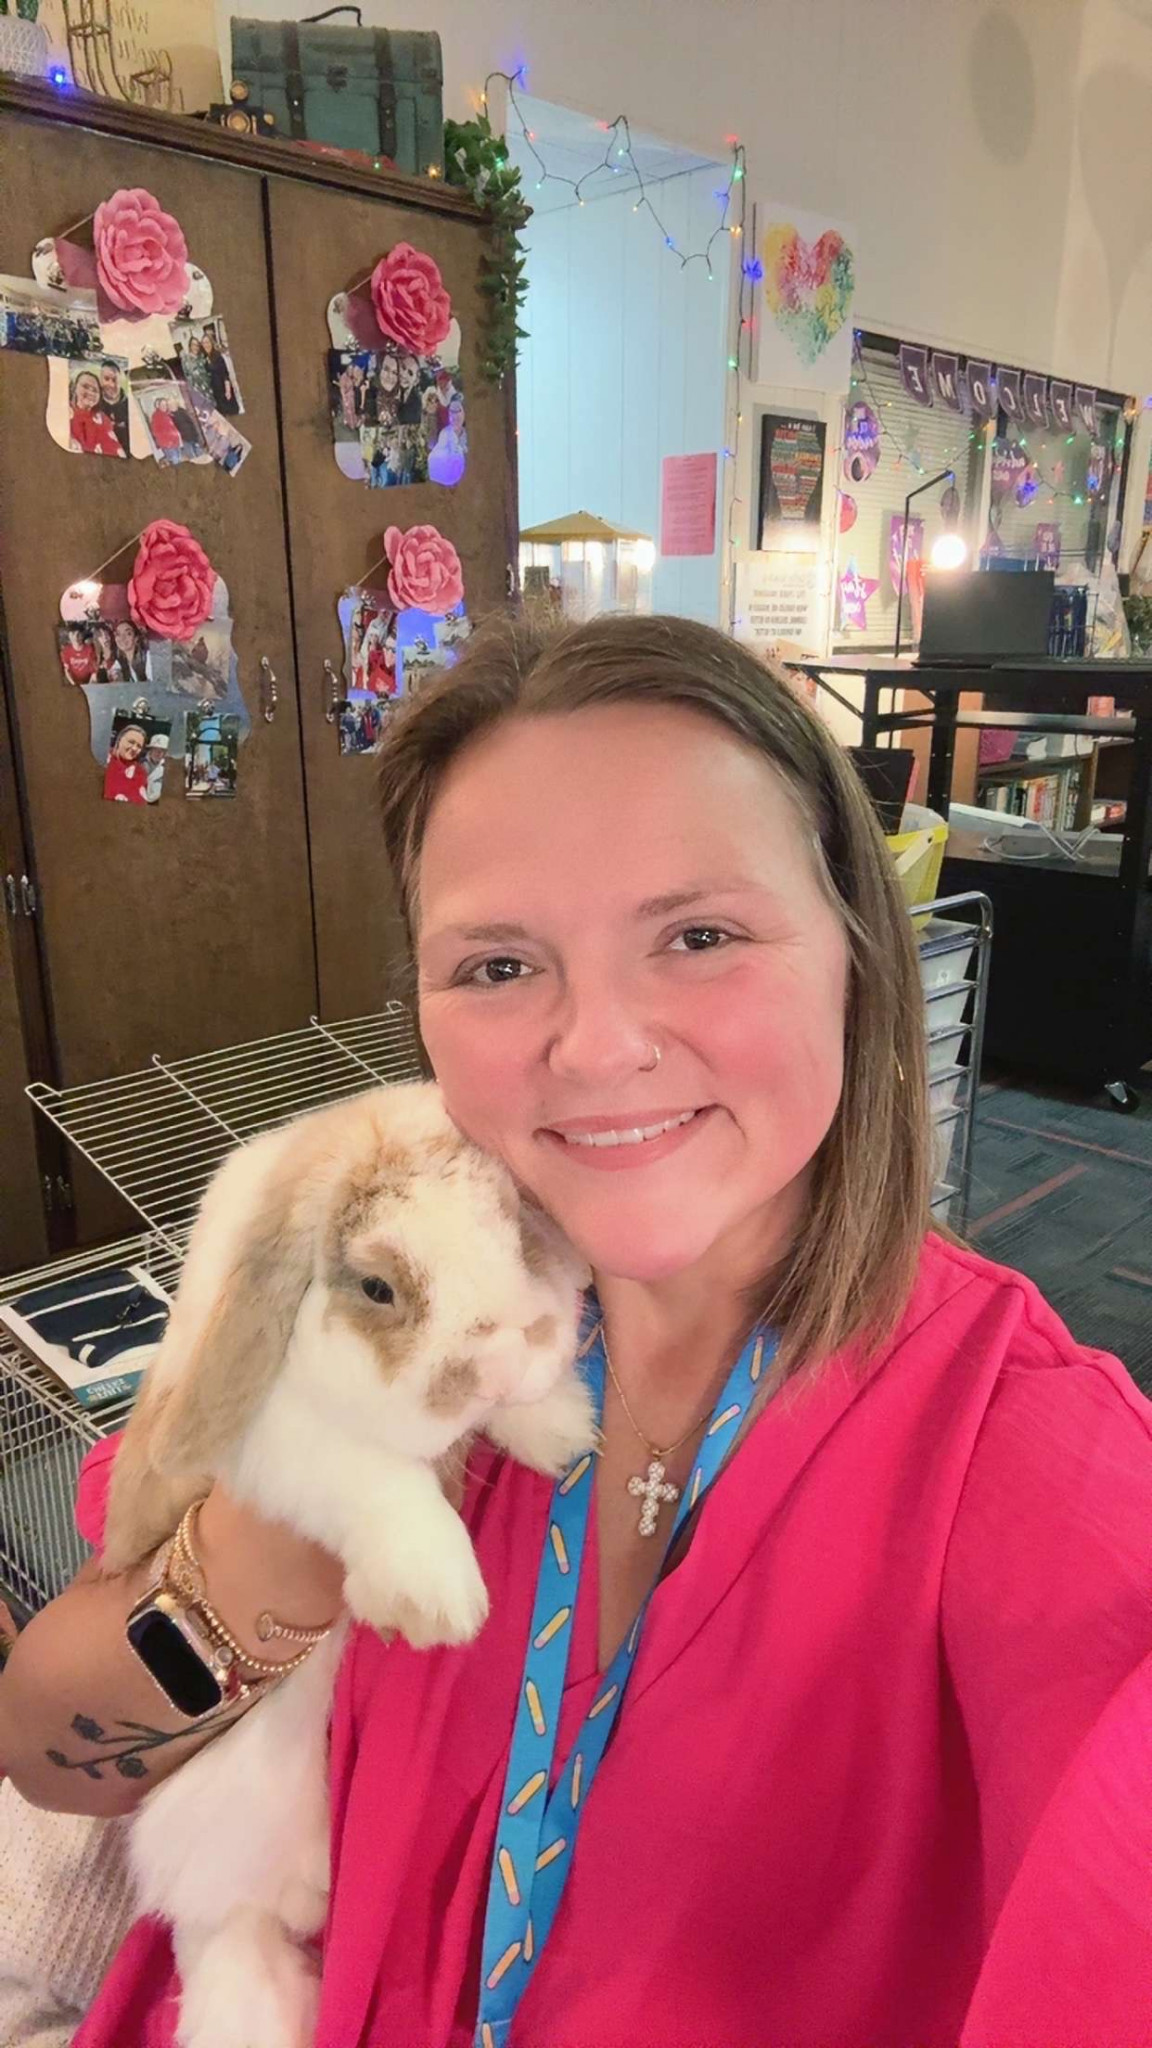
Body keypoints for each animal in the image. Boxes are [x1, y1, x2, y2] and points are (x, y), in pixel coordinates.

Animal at [100, 1081, 598, 2048]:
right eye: (377, 1287)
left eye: (517, 1231)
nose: (500, 1359)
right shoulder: (278, 1447)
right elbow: (374, 1475)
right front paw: (439, 1599)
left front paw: (561, 1423)